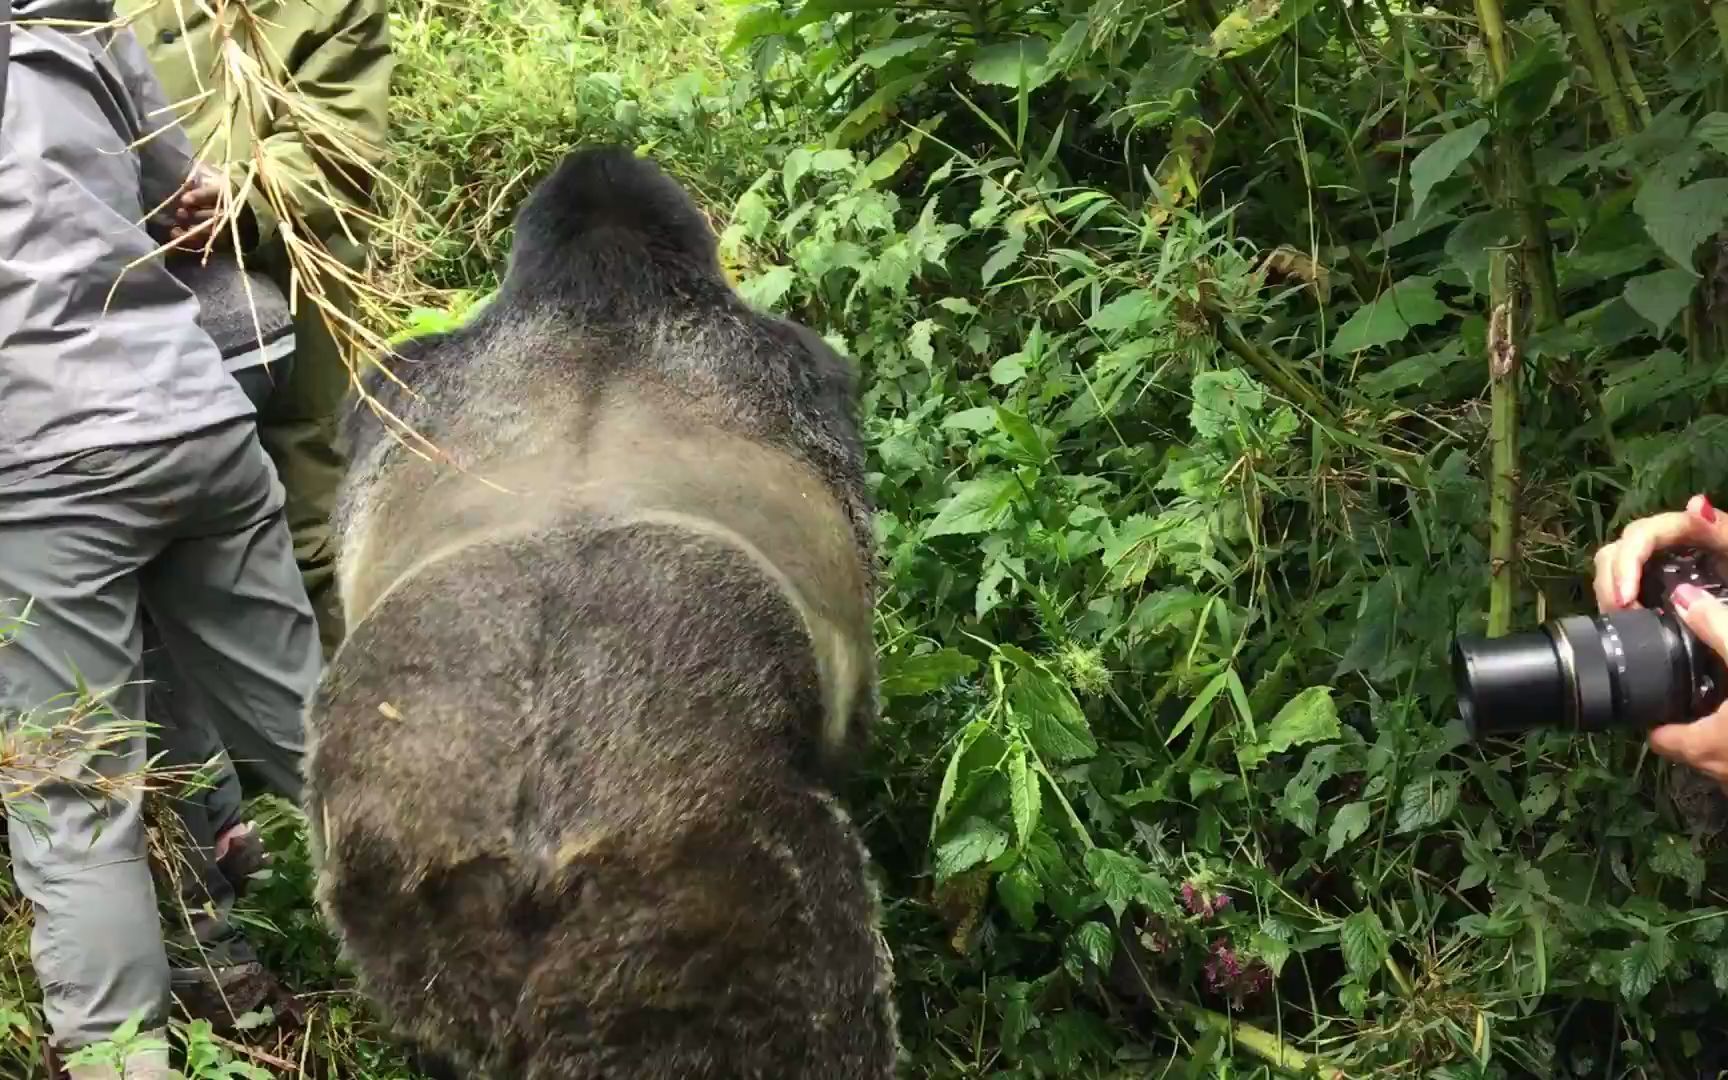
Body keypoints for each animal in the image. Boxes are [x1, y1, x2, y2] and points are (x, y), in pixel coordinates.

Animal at [309, 145, 898, 1078]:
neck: (596, 292)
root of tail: (533, 853)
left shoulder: (394, 383)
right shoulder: (801, 370)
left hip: (396, 895)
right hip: (721, 903)